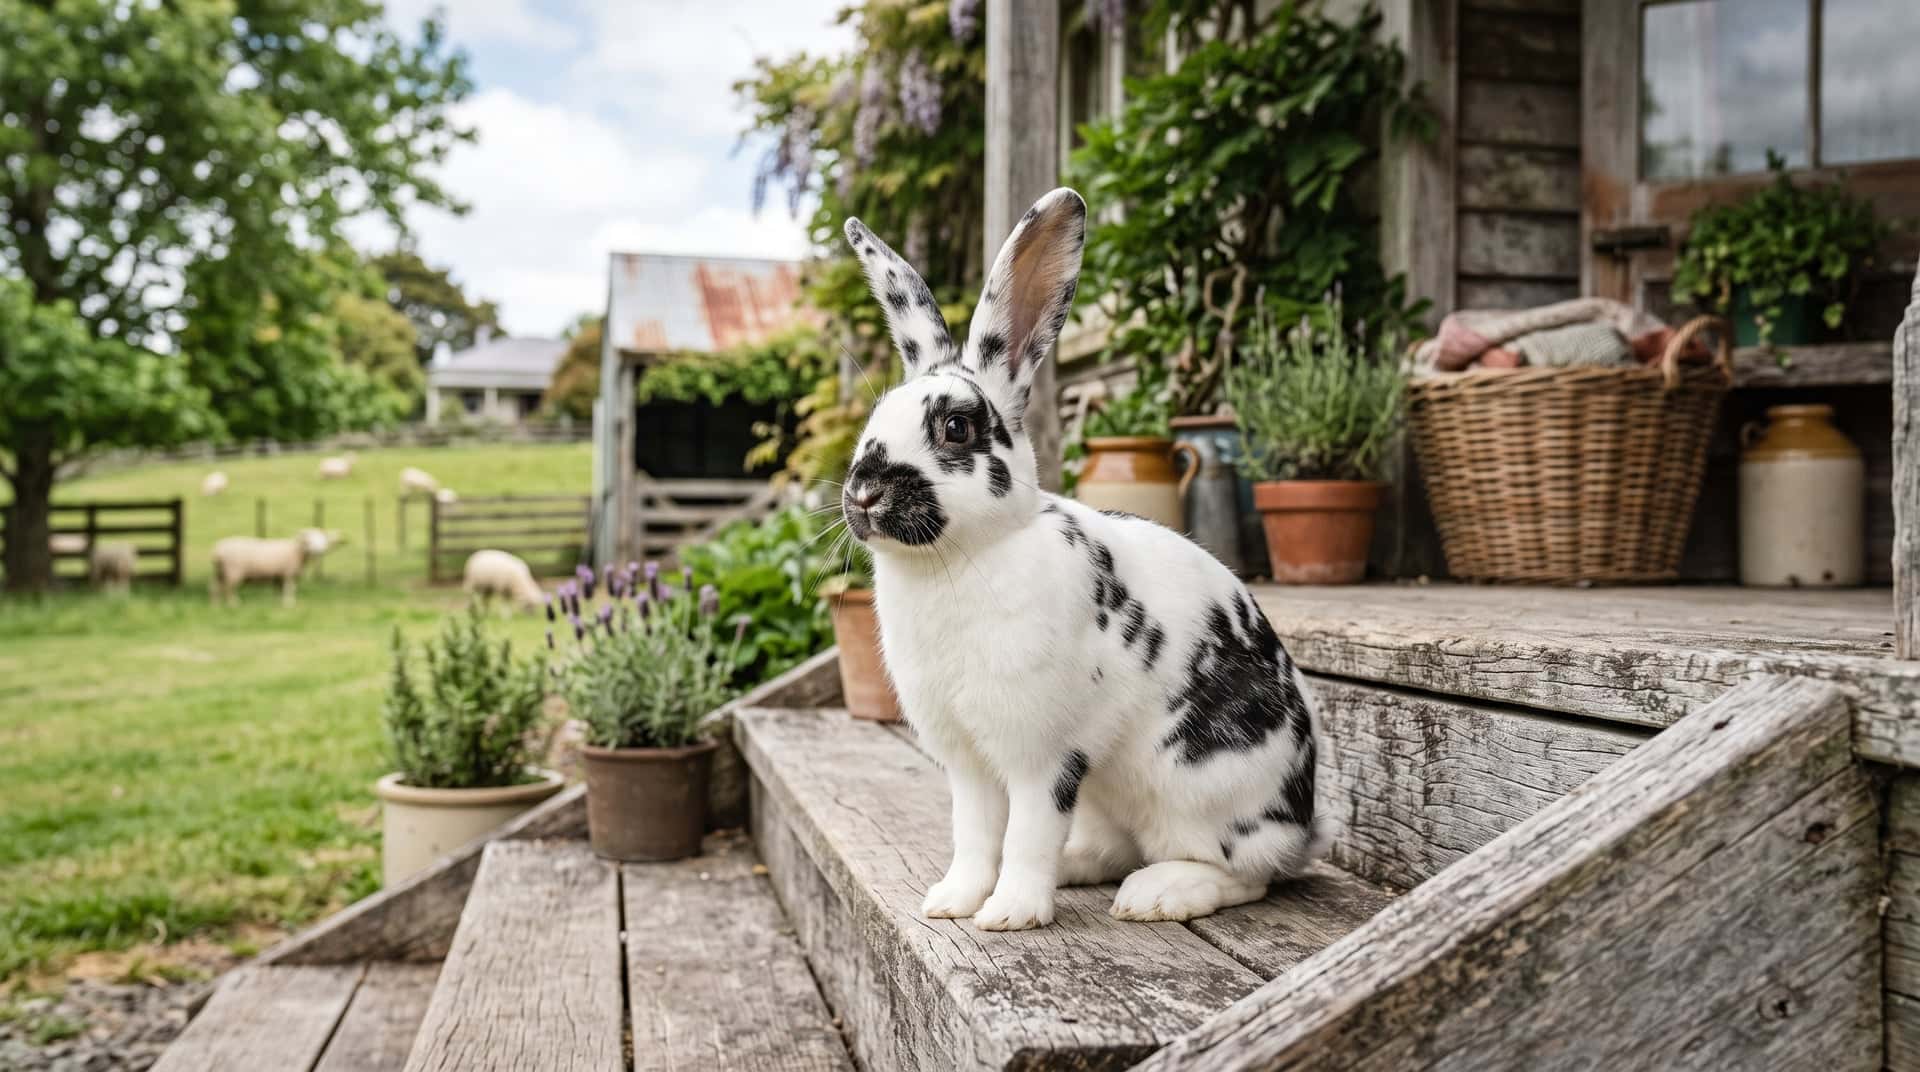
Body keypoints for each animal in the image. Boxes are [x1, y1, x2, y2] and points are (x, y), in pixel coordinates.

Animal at [839, 187, 1329, 932]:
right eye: (874, 425)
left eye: (956, 427)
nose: (863, 492)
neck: (963, 557)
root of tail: (1303, 825)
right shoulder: (968, 762)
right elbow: (974, 834)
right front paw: (953, 902)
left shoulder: (1041, 756)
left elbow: (1027, 832)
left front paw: (1009, 914)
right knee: (1119, 848)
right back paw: (1080, 870)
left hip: (1201, 788)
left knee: (1247, 874)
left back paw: (1158, 895)